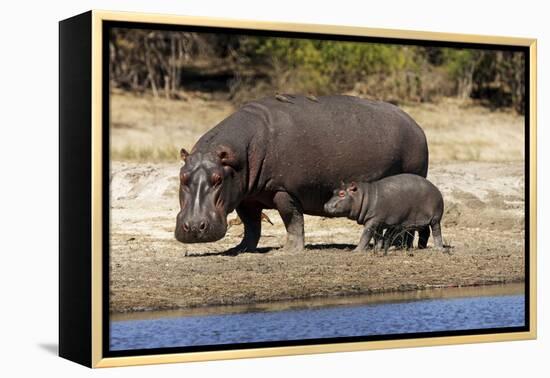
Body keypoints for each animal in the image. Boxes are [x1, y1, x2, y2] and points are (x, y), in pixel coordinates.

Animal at [175, 94, 430, 254]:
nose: (194, 227)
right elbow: (251, 225)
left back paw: (400, 247)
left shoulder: (283, 190)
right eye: (182, 177)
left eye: (218, 179)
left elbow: (292, 220)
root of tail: (416, 125)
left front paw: (288, 251)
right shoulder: (245, 197)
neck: (237, 156)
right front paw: (240, 249)